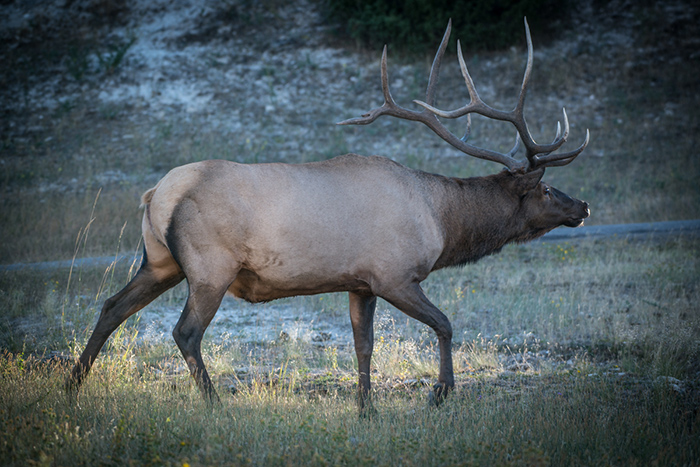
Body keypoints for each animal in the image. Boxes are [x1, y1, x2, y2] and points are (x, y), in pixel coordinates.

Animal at [67, 20, 592, 412]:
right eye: (546, 188)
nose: (583, 206)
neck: (442, 223)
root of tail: (157, 194)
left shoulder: (360, 282)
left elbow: (364, 346)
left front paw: (367, 409)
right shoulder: (394, 274)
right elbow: (444, 323)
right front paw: (439, 393)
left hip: (160, 261)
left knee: (112, 306)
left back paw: (72, 383)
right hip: (209, 266)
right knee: (185, 332)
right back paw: (215, 404)